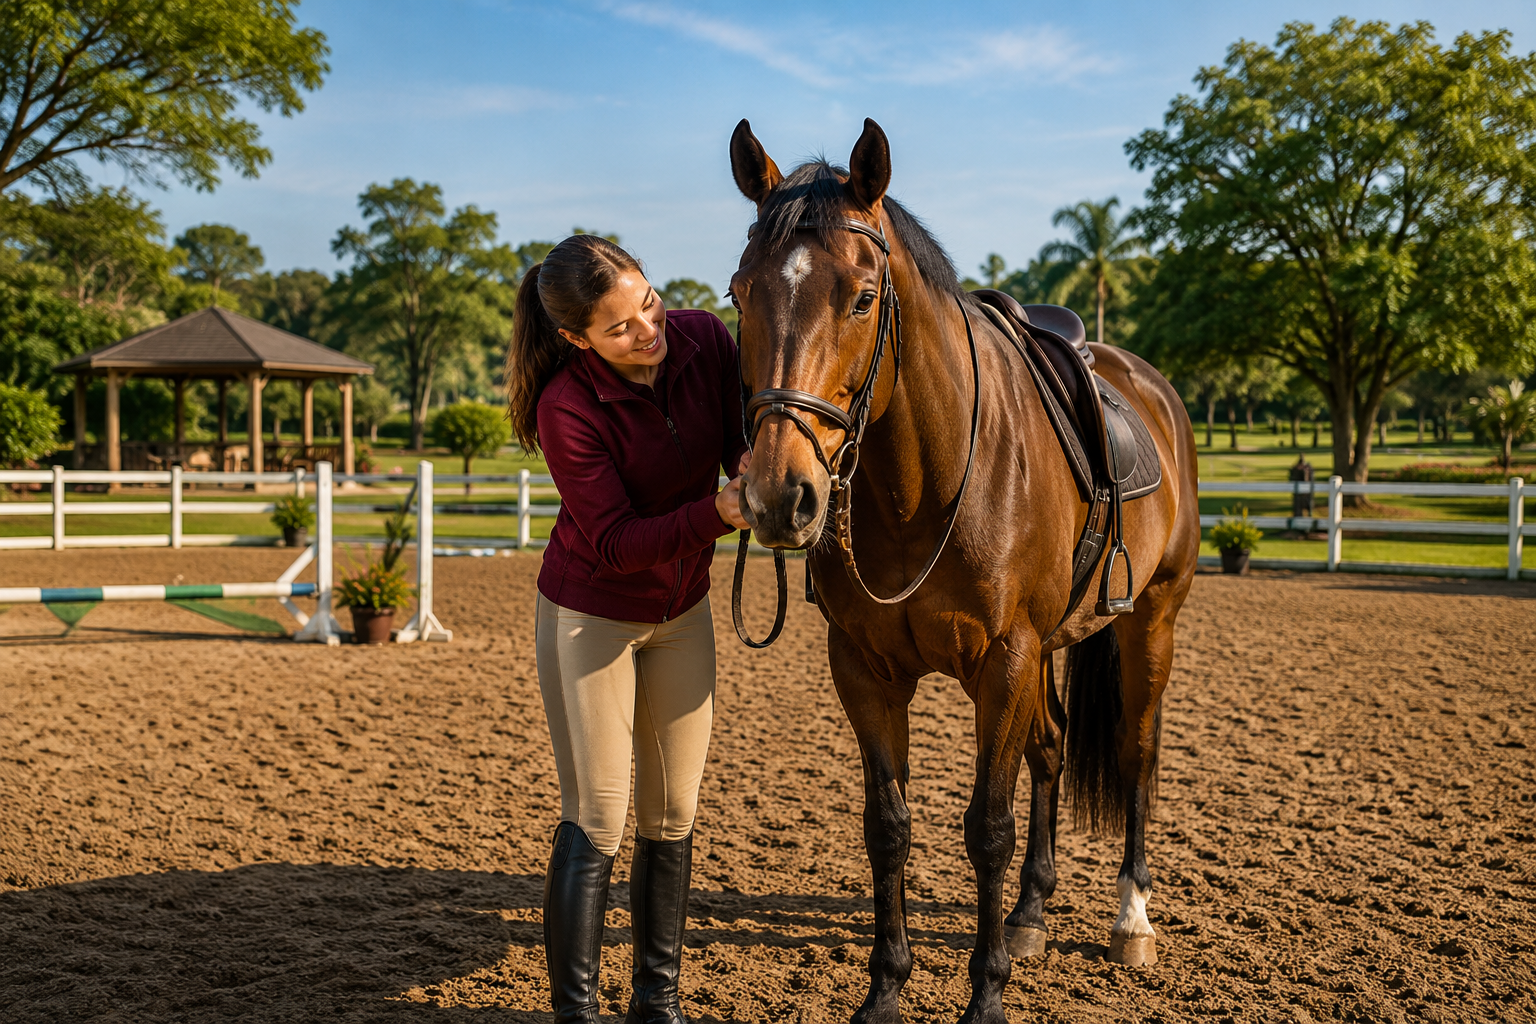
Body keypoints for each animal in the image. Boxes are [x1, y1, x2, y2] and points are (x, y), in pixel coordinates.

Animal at [726, 118, 1201, 1024]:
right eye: (738, 294)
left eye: (862, 297)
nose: (777, 494)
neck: (924, 484)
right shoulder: (865, 669)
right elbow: (888, 828)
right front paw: (885, 989)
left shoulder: (1004, 662)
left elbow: (988, 828)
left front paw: (985, 997)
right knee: (1052, 748)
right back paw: (1030, 913)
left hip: (1151, 621)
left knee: (1136, 752)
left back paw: (1131, 917)